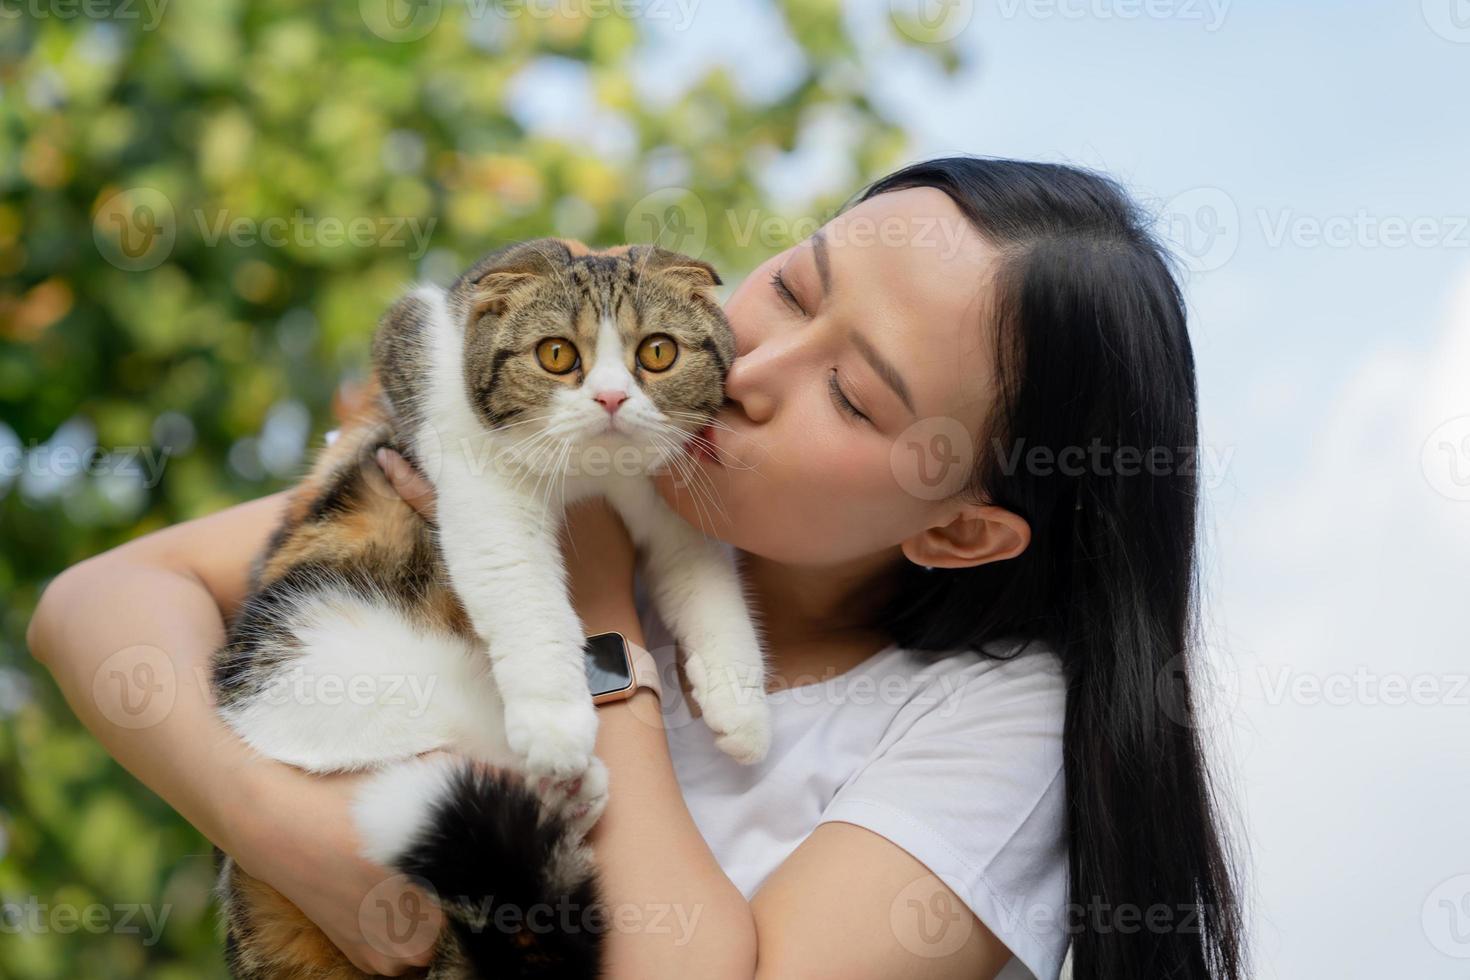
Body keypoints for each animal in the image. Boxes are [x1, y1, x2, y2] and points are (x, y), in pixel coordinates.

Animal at [214, 239, 782, 980]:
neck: (595, 478)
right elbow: (524, 594)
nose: (610, 398)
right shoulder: (472, 466)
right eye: (556, 355)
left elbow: (710, 593)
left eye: (657, 352)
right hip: (332, 659)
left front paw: (741, 711)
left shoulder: (671, 505)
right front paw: (555, 722)